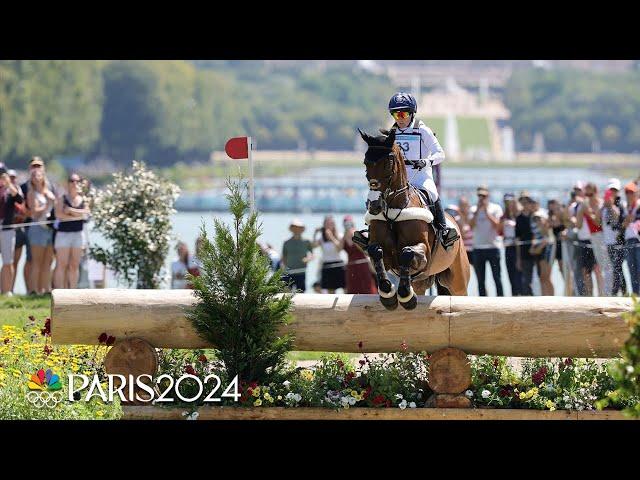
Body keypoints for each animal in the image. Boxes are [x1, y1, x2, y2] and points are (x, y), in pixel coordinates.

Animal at [360, 128, 470, 308]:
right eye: (365, 162)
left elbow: (407, 252)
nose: (374, 205)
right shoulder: (386, 256)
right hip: (422, 282)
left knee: (460, 292)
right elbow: (376, 252)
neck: (394, 210)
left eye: (388, 162)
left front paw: (405, 295)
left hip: (458, 280)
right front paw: (388, 293)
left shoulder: (423, 254)